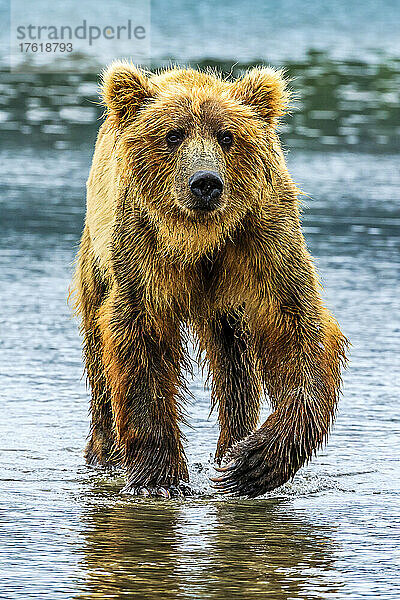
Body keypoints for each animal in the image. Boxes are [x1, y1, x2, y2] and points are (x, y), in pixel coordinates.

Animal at [73, 63, 348, 500]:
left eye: (227, 136)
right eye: (172, 134)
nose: (205, 182)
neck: (200, 238)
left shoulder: (262, 239)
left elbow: (298, 330)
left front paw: (253, 462)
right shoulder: (141, 251)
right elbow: (138, 340)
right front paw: (159, 476)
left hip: (227, 306)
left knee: (234, 366)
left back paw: (230, 446)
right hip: (96, 256)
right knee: (98, 355)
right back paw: (104, 451)